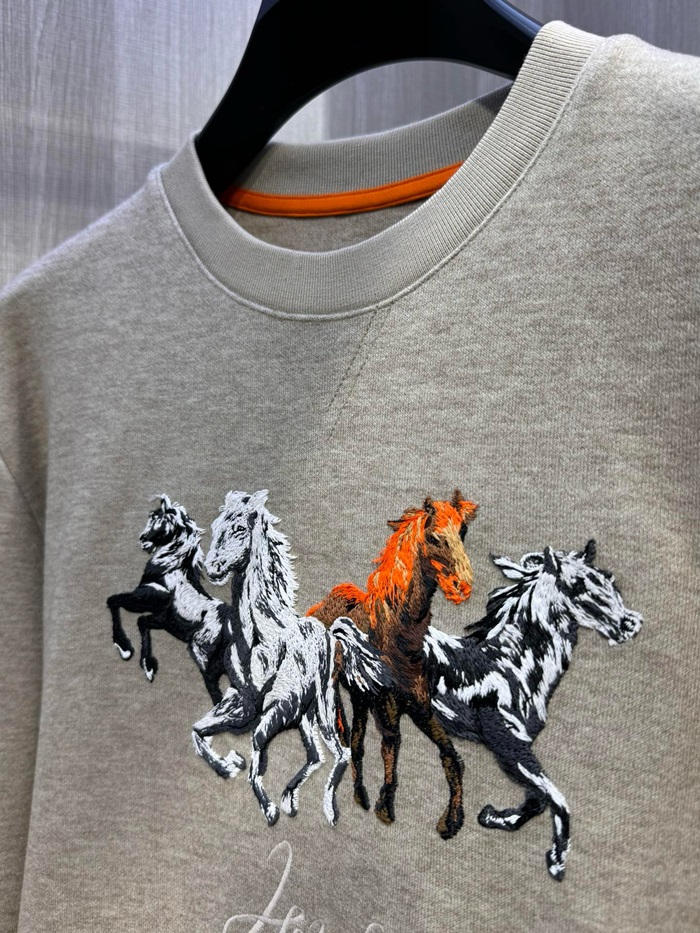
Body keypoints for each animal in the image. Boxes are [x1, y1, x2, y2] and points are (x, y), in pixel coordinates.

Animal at [106, 493, 230, 704]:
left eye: (160, 520)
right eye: (151, 517)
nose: (143, 540)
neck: (170, 569)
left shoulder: (147, 597)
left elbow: (113, 601)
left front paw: (124, 648)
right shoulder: (162, 619)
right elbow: (141, 622)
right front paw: (148, 667)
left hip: (203, 658)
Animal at [190, 489, 391, 827]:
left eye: (240, 529)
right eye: (216, 526)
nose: (213, 567)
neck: (260, 638)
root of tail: (330, 633)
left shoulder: (279, 708)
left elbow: (257, 752)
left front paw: (269, 809)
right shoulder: (242, 705)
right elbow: (199, 732)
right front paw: (230, 764)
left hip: (322, 709)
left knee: (340, 753)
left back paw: (326, 810)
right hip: (305, 717)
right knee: (316, 756)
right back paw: (290, 799)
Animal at [307, 490, 478, 840]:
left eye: (463, 532)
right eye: (433, 537)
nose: (462, 586)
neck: (397, 636)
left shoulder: (419, 706)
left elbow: (451, 756)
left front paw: (451, 822)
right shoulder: (387, 708)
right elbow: (390, 749)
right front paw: (385, 808)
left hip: (359, 697)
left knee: (355, 741)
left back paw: (360, 796)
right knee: (347, 738)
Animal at [423, 539, 643, 880]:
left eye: (609, 578)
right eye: (576, 585)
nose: (629, 624)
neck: (511, 667)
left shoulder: (520, 748)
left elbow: (539, 799)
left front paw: (493, 817)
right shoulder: (507, 745)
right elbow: (556, 799)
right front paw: (556, 860)